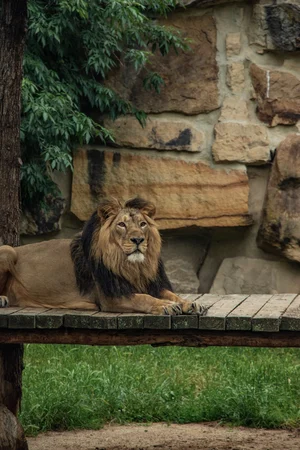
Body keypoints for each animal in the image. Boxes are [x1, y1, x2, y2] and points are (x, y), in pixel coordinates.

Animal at [0, 197, 205, 316]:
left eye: (143, 224)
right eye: (122, 224)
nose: (138, 239)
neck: (132, 266)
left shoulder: (150, 284)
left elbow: (172, 294)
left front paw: (189, 303)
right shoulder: (111, 297)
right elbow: (143, 298)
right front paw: (166, 306)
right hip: (8, 250)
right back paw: (2, 299)